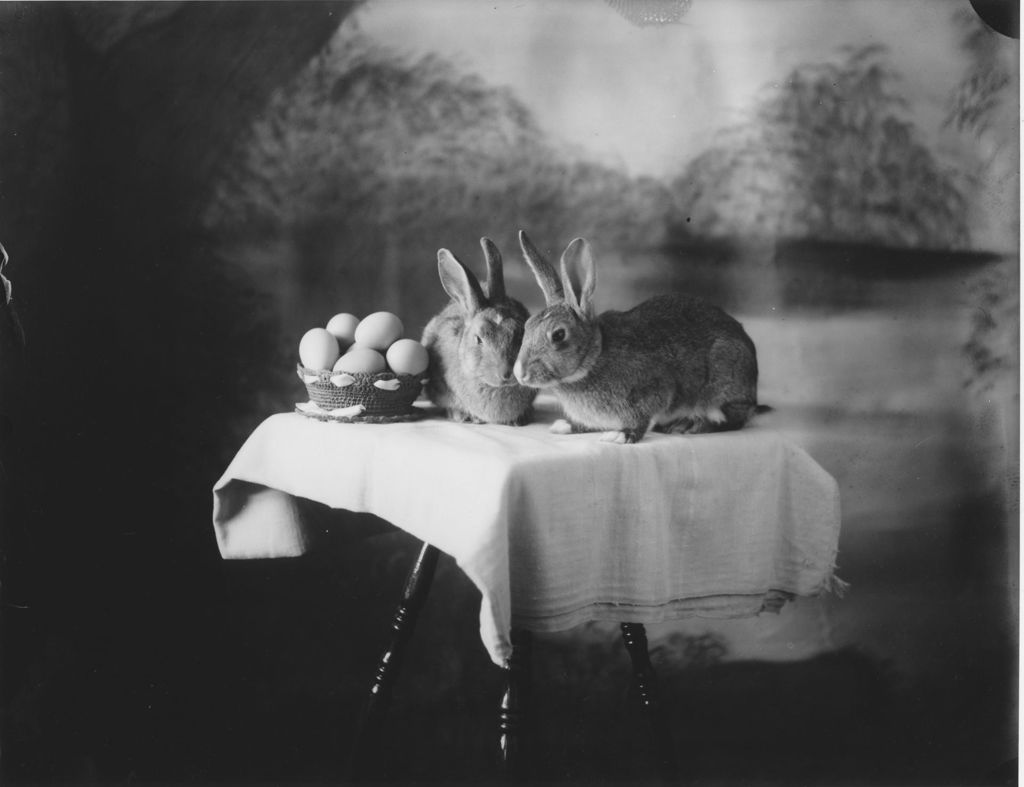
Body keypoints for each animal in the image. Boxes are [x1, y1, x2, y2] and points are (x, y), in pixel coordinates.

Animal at [516, 230, 765, 446]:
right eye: (527, 326)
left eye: (558, 335)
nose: (519, 373)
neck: (595, 357)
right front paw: (565, 426)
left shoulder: (655, 389)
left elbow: (641, 419)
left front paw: (621, 436)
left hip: (724, 380)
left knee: (731, 419)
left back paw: (688, 425)